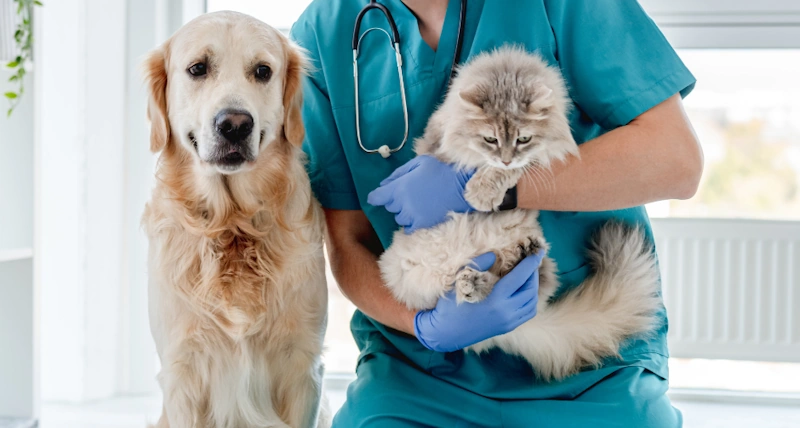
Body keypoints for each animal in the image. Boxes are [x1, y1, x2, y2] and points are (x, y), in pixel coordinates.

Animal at [142, 10, 330, 428]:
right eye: (197, 68)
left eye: (262, 71)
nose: (235, 124)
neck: (232, 223)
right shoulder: (183, 370)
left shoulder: (302, 367)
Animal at [382, 46, 664, 382]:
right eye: (490, 139)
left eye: (523, 139)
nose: (505, 158)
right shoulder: (440, 143)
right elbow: (471, 159)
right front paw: (477, 186)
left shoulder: (536, 154)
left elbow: (514, 169)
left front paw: (482, 190)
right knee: (465, 295)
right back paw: (473, 287)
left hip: (531, 262)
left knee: (507, 279)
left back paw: (512, 258)